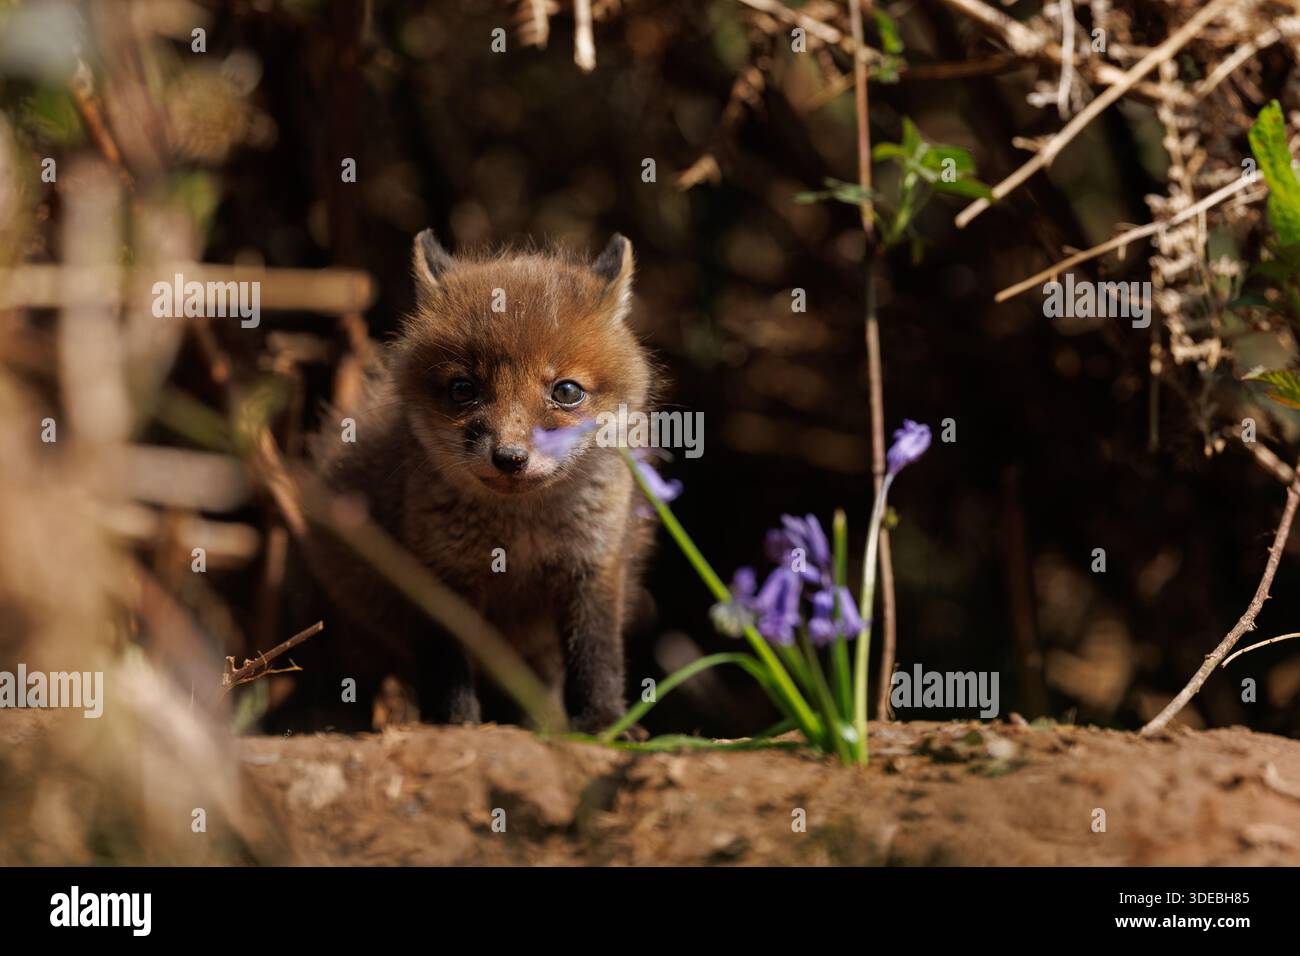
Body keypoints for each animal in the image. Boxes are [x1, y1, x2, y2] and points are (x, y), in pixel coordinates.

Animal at [287, 230, 657, 733]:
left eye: (566, 391)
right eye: (464, 389)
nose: (510, 457)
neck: (520, 534)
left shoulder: (593, 567)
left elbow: (597, 657)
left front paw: (603, 722)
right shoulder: (439, 572)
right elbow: (447, 669)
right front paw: (454, 723)